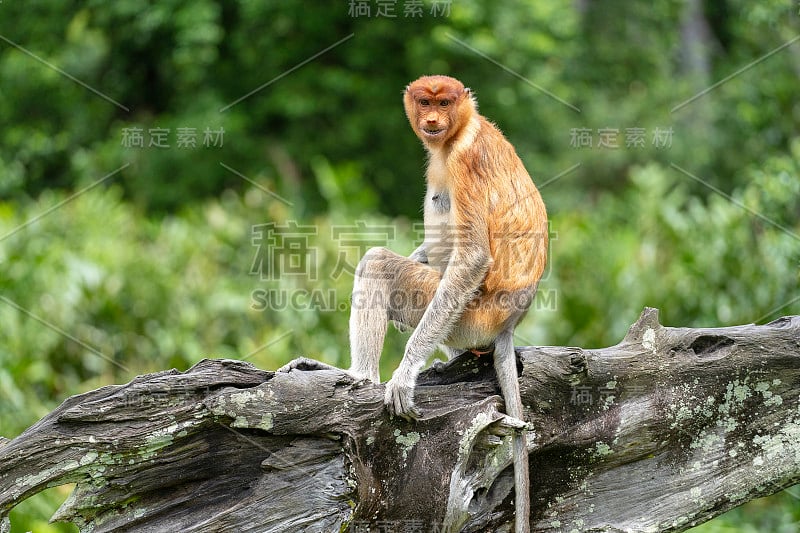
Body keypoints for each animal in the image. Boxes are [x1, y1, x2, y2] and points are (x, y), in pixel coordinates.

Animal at [278, 76, 548, 532]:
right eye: (425, 102)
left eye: (444, 102)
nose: (433, 121)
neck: (460, 130)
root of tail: (508, 323)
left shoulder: (463, 160)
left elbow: (472, 256)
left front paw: (403, 378)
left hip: (465, 315)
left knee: (378, 264)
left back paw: (363, 377)